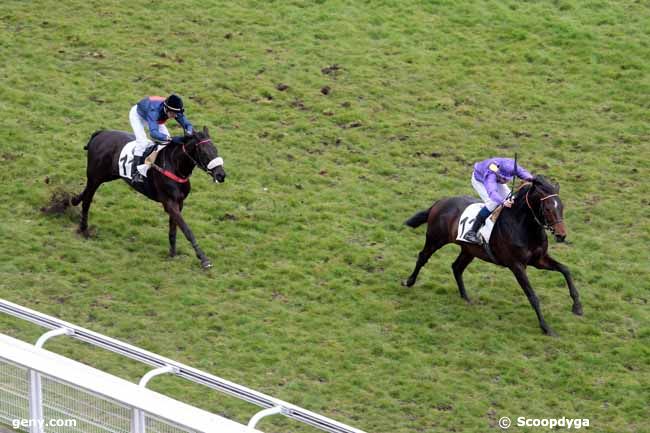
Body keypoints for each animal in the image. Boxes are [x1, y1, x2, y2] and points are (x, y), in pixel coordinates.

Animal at [69, 125, 224, 266]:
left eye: (215, 149)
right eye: (204, 152)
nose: (221, 175)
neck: (175, 166)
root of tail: (101, 133)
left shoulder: (179, 203)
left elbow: (173, 230)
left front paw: (172, 253)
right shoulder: (169, 203)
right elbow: (187, 229)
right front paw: (203, 259)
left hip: (109, 175)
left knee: (86, 193)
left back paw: (74, 200)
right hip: (96, 177)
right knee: (87, 200)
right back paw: (84, 229)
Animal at [402, 176, 580, 334]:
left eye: (561, 207)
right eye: (548, 208)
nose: (561, 235)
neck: (523, 226)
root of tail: (439, 202)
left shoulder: (539, 260)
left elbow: (565, 269)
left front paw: (577, 307)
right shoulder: (517, 266)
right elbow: (532, 295)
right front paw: (546, 327)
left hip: (469, 250)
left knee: (456, 267)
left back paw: (465, 297)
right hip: (435, 239)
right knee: (423, 257)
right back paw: (409, 281)